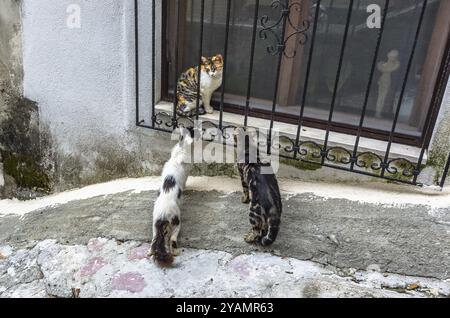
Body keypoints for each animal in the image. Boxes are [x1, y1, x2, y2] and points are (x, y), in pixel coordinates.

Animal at [149, 128, 192, 268]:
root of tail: (163, 214)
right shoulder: (186, 174)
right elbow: (185, 182)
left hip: (155, 224)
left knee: (153, 242)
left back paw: (149, 252)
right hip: (177, 221)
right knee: (172, 239)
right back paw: (176, 252)